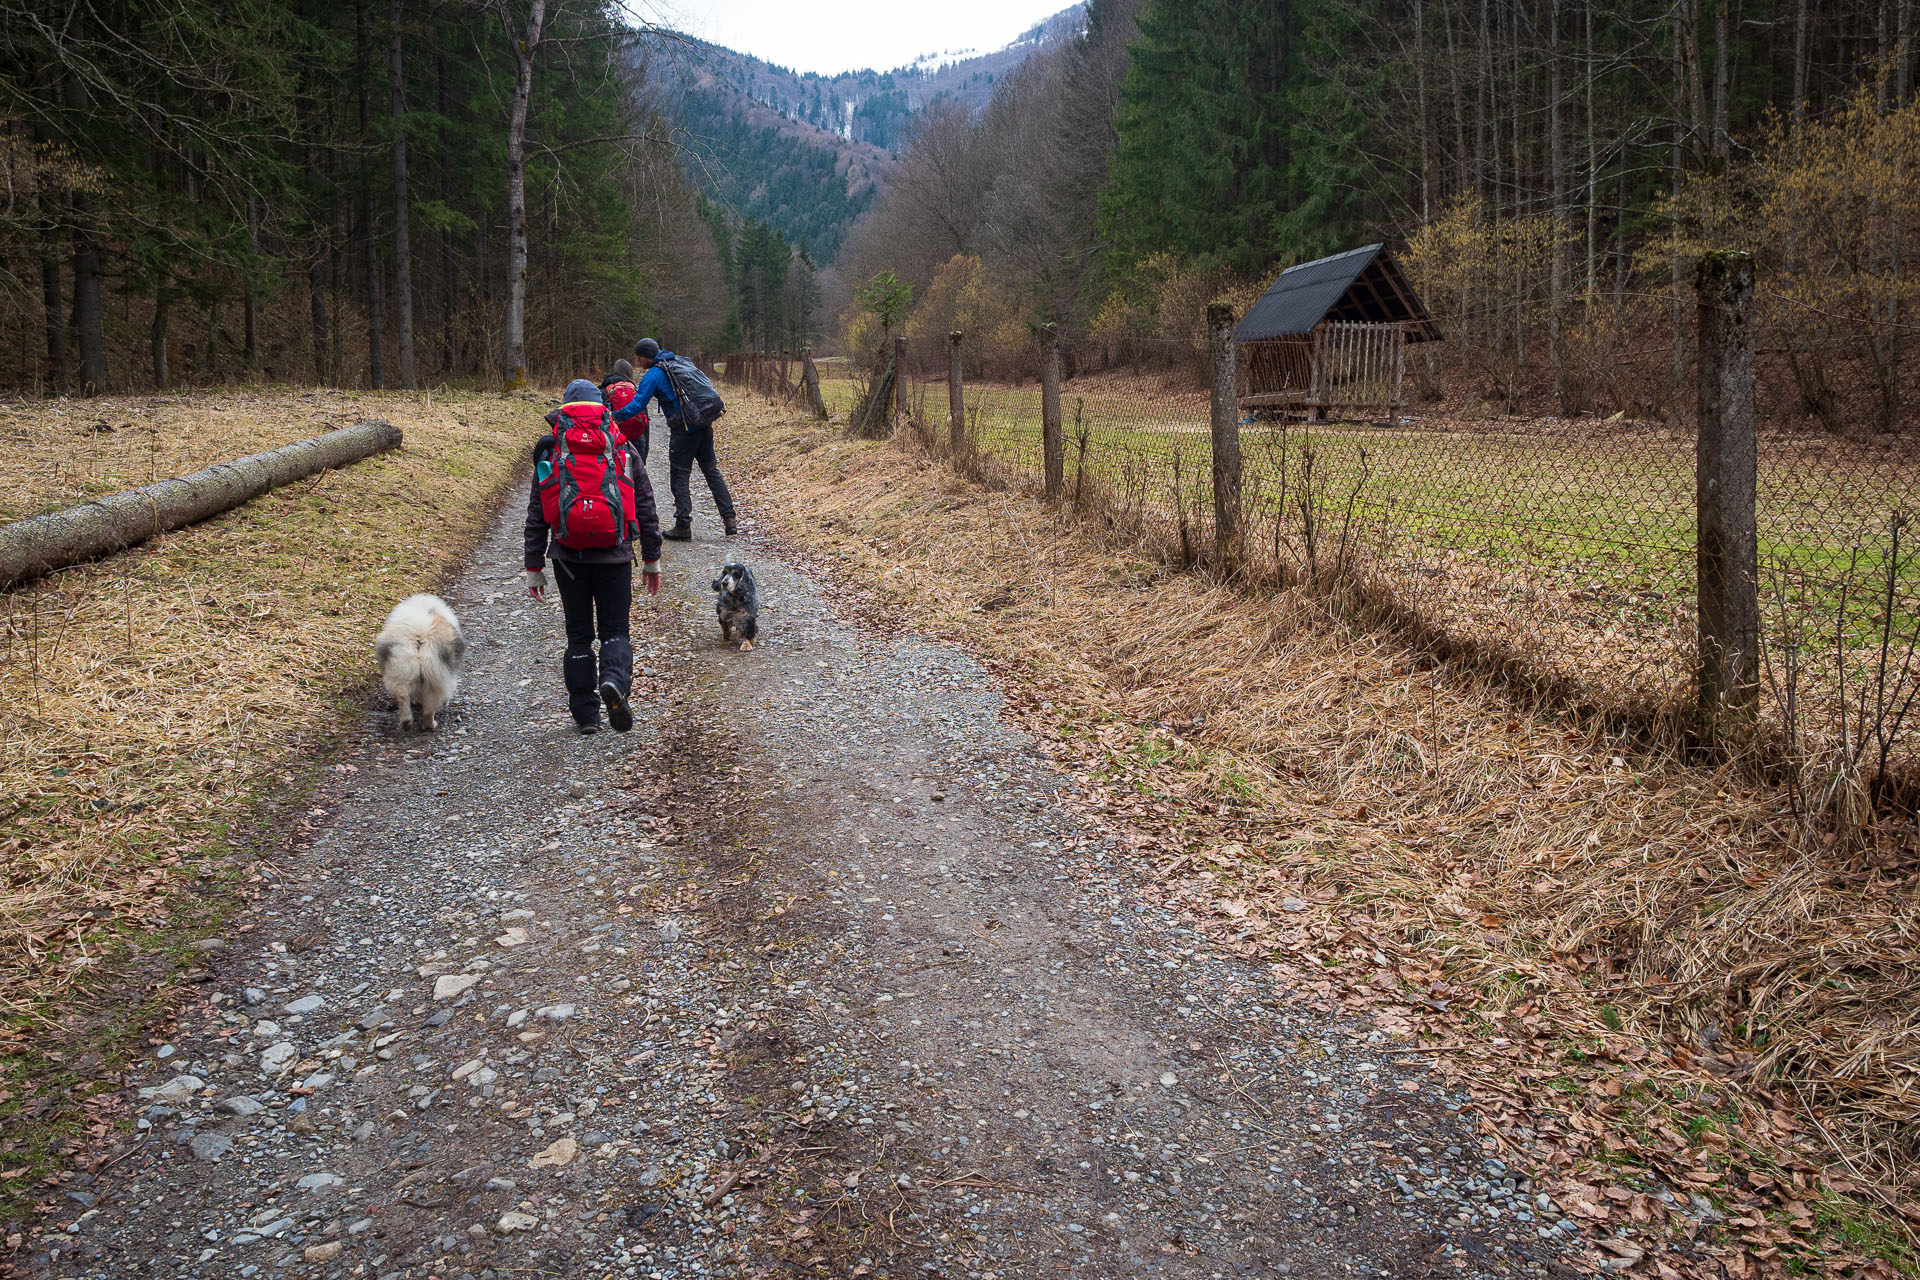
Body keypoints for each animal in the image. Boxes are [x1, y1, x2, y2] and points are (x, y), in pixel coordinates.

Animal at [372, 594, 466, 729]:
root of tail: (419, 637)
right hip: (437, 680)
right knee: (429, 709)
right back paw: (430, 725)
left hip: (401, 670)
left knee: (402, 695)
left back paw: (406, 722)